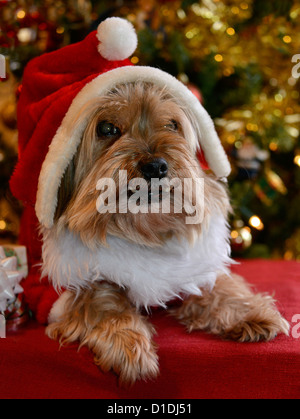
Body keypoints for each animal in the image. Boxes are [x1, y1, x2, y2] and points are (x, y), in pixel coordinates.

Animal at [41, 79, 290, 388]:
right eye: (107, 128)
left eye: (171, 125)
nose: (156, 166)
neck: (145, 230)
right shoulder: (73, 279)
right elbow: (101, 301)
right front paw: (129, 346)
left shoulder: (196, 266)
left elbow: (220, 285)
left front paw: (249, 312)